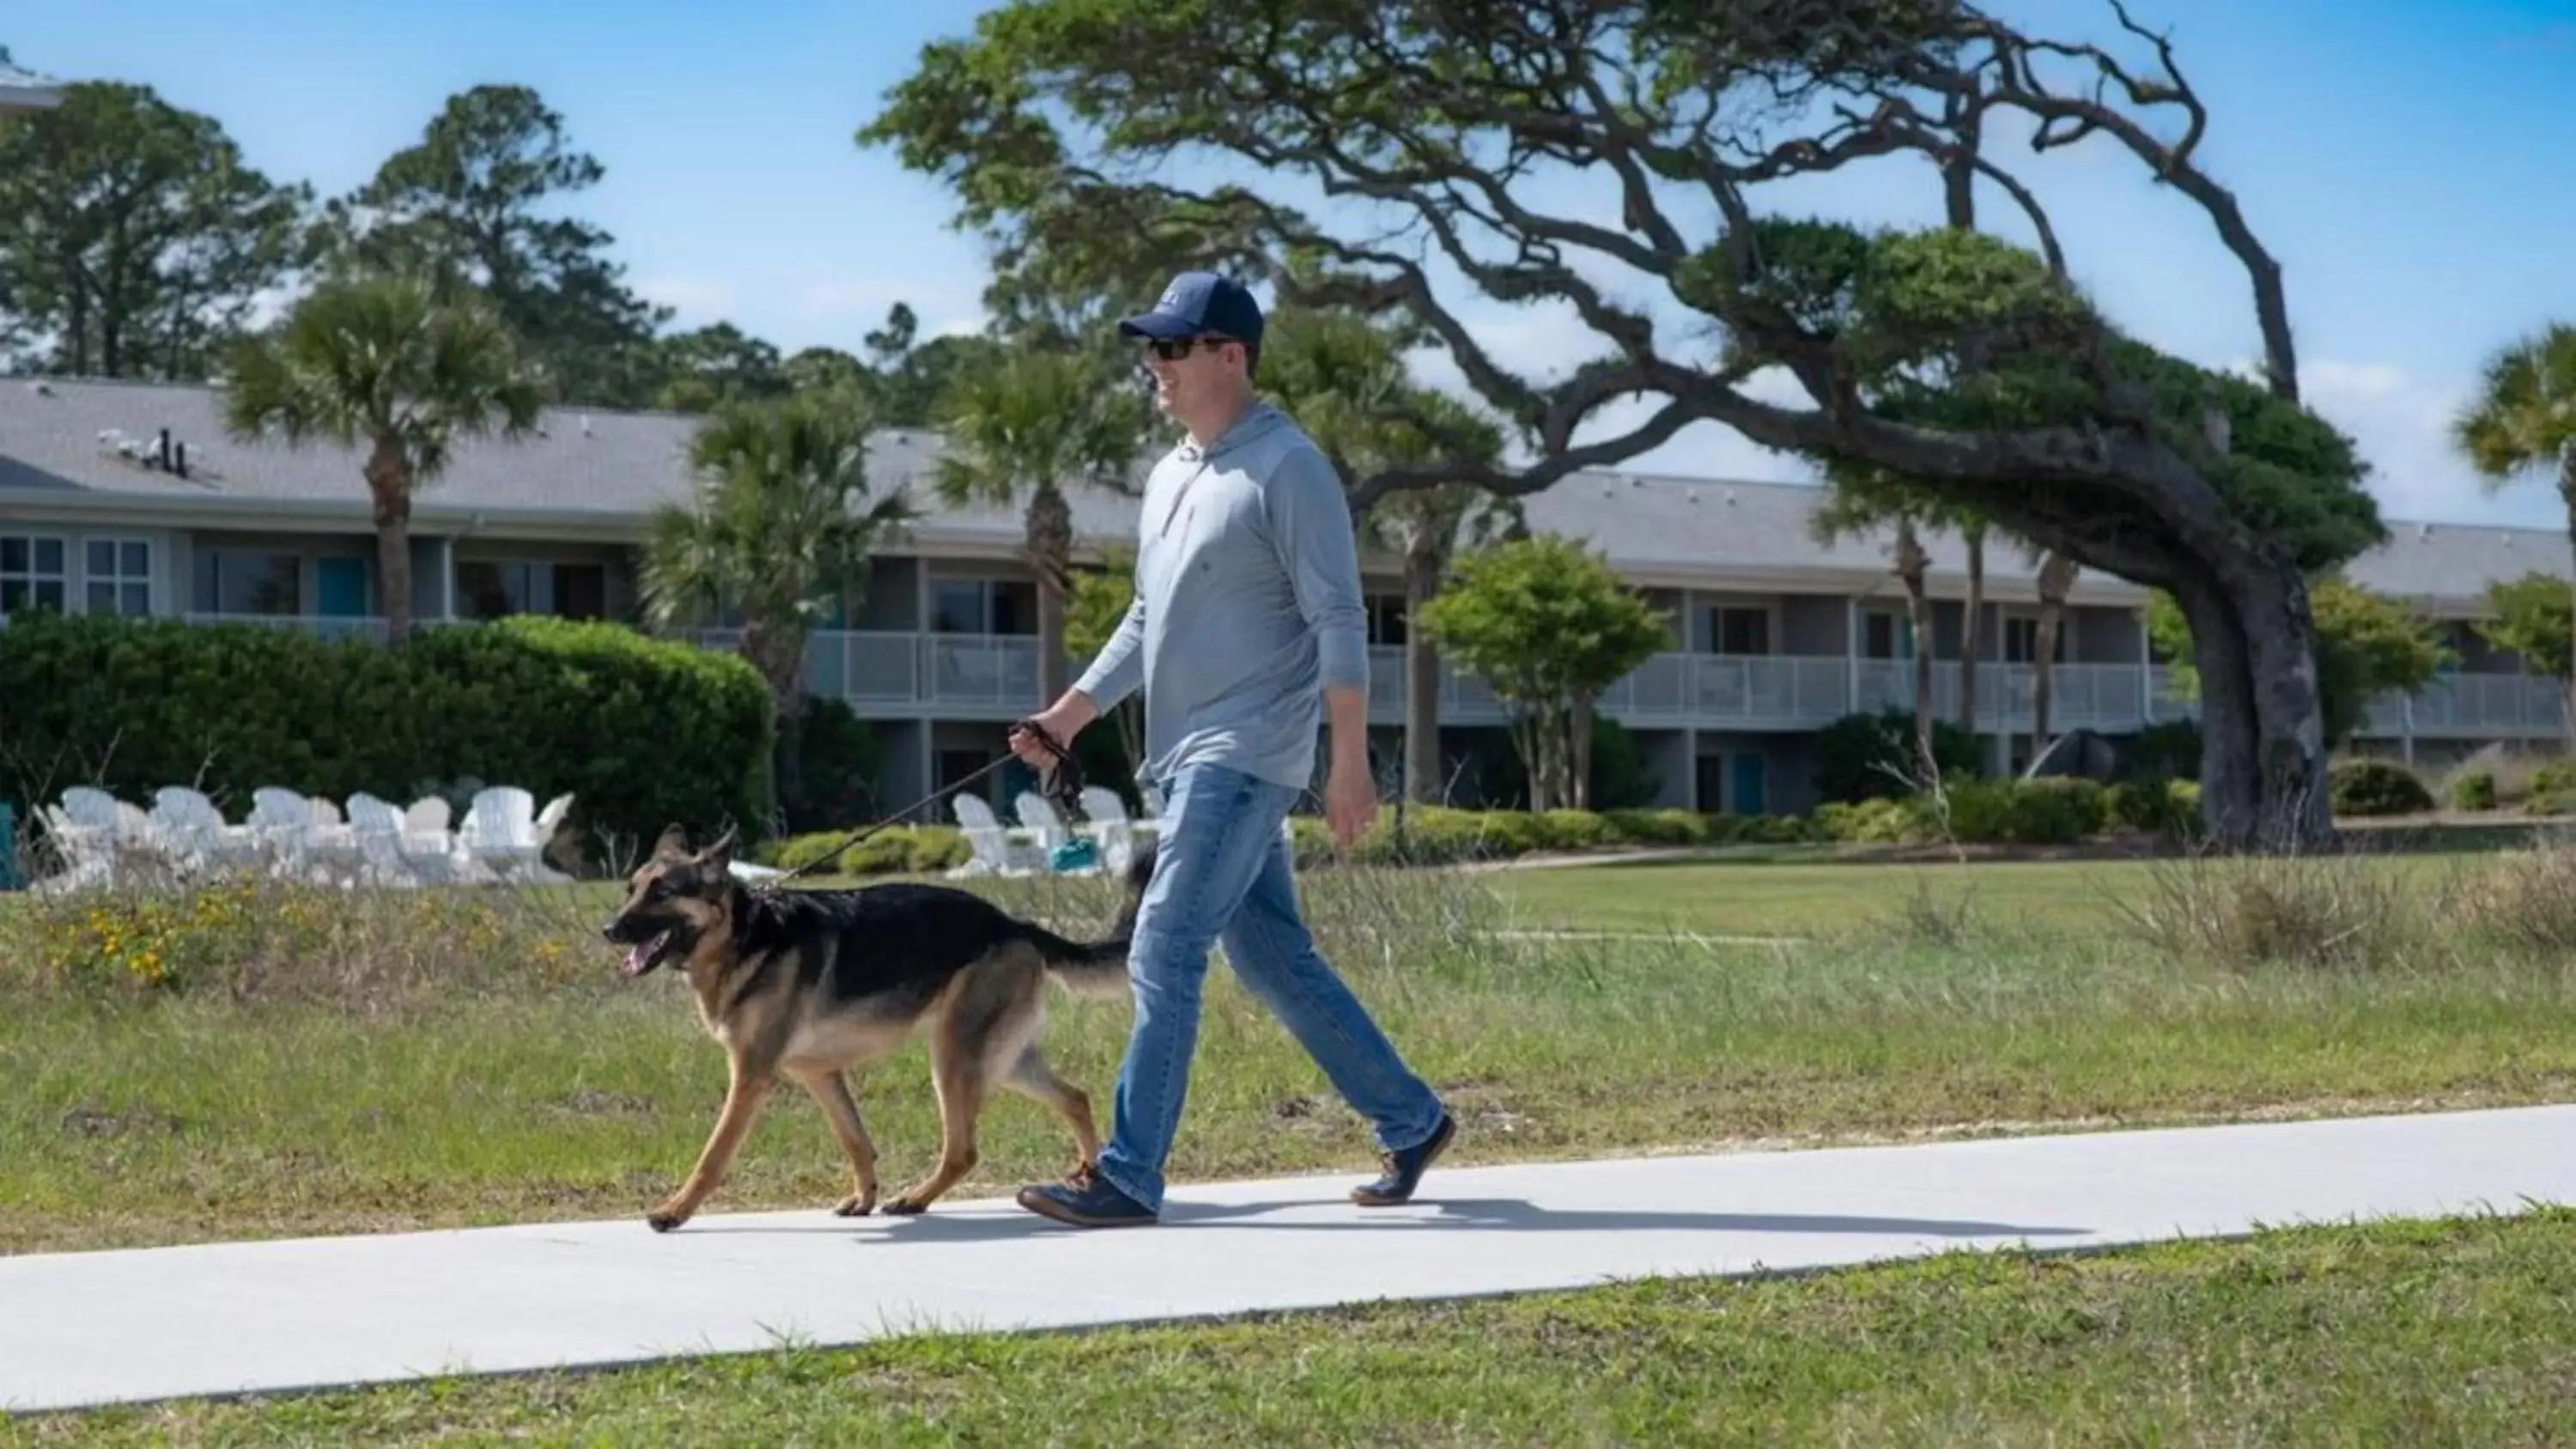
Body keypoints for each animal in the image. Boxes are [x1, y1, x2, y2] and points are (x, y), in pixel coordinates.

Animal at [603, 828, 1149, 1235]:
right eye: (631, 889)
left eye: (663, 893)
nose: (608, 930)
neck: (744, 936)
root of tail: (1014, 924)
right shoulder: (819, 1074)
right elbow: (855, 1140)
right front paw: (863, 1197)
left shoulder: (752, 1077)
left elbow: (713, 1154)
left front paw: (674, 1210)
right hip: (1004, 1060)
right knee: (1075, 1097)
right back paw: (1089, 1176)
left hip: (955, 1059)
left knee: (963, 1150)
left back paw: (916, 1198)